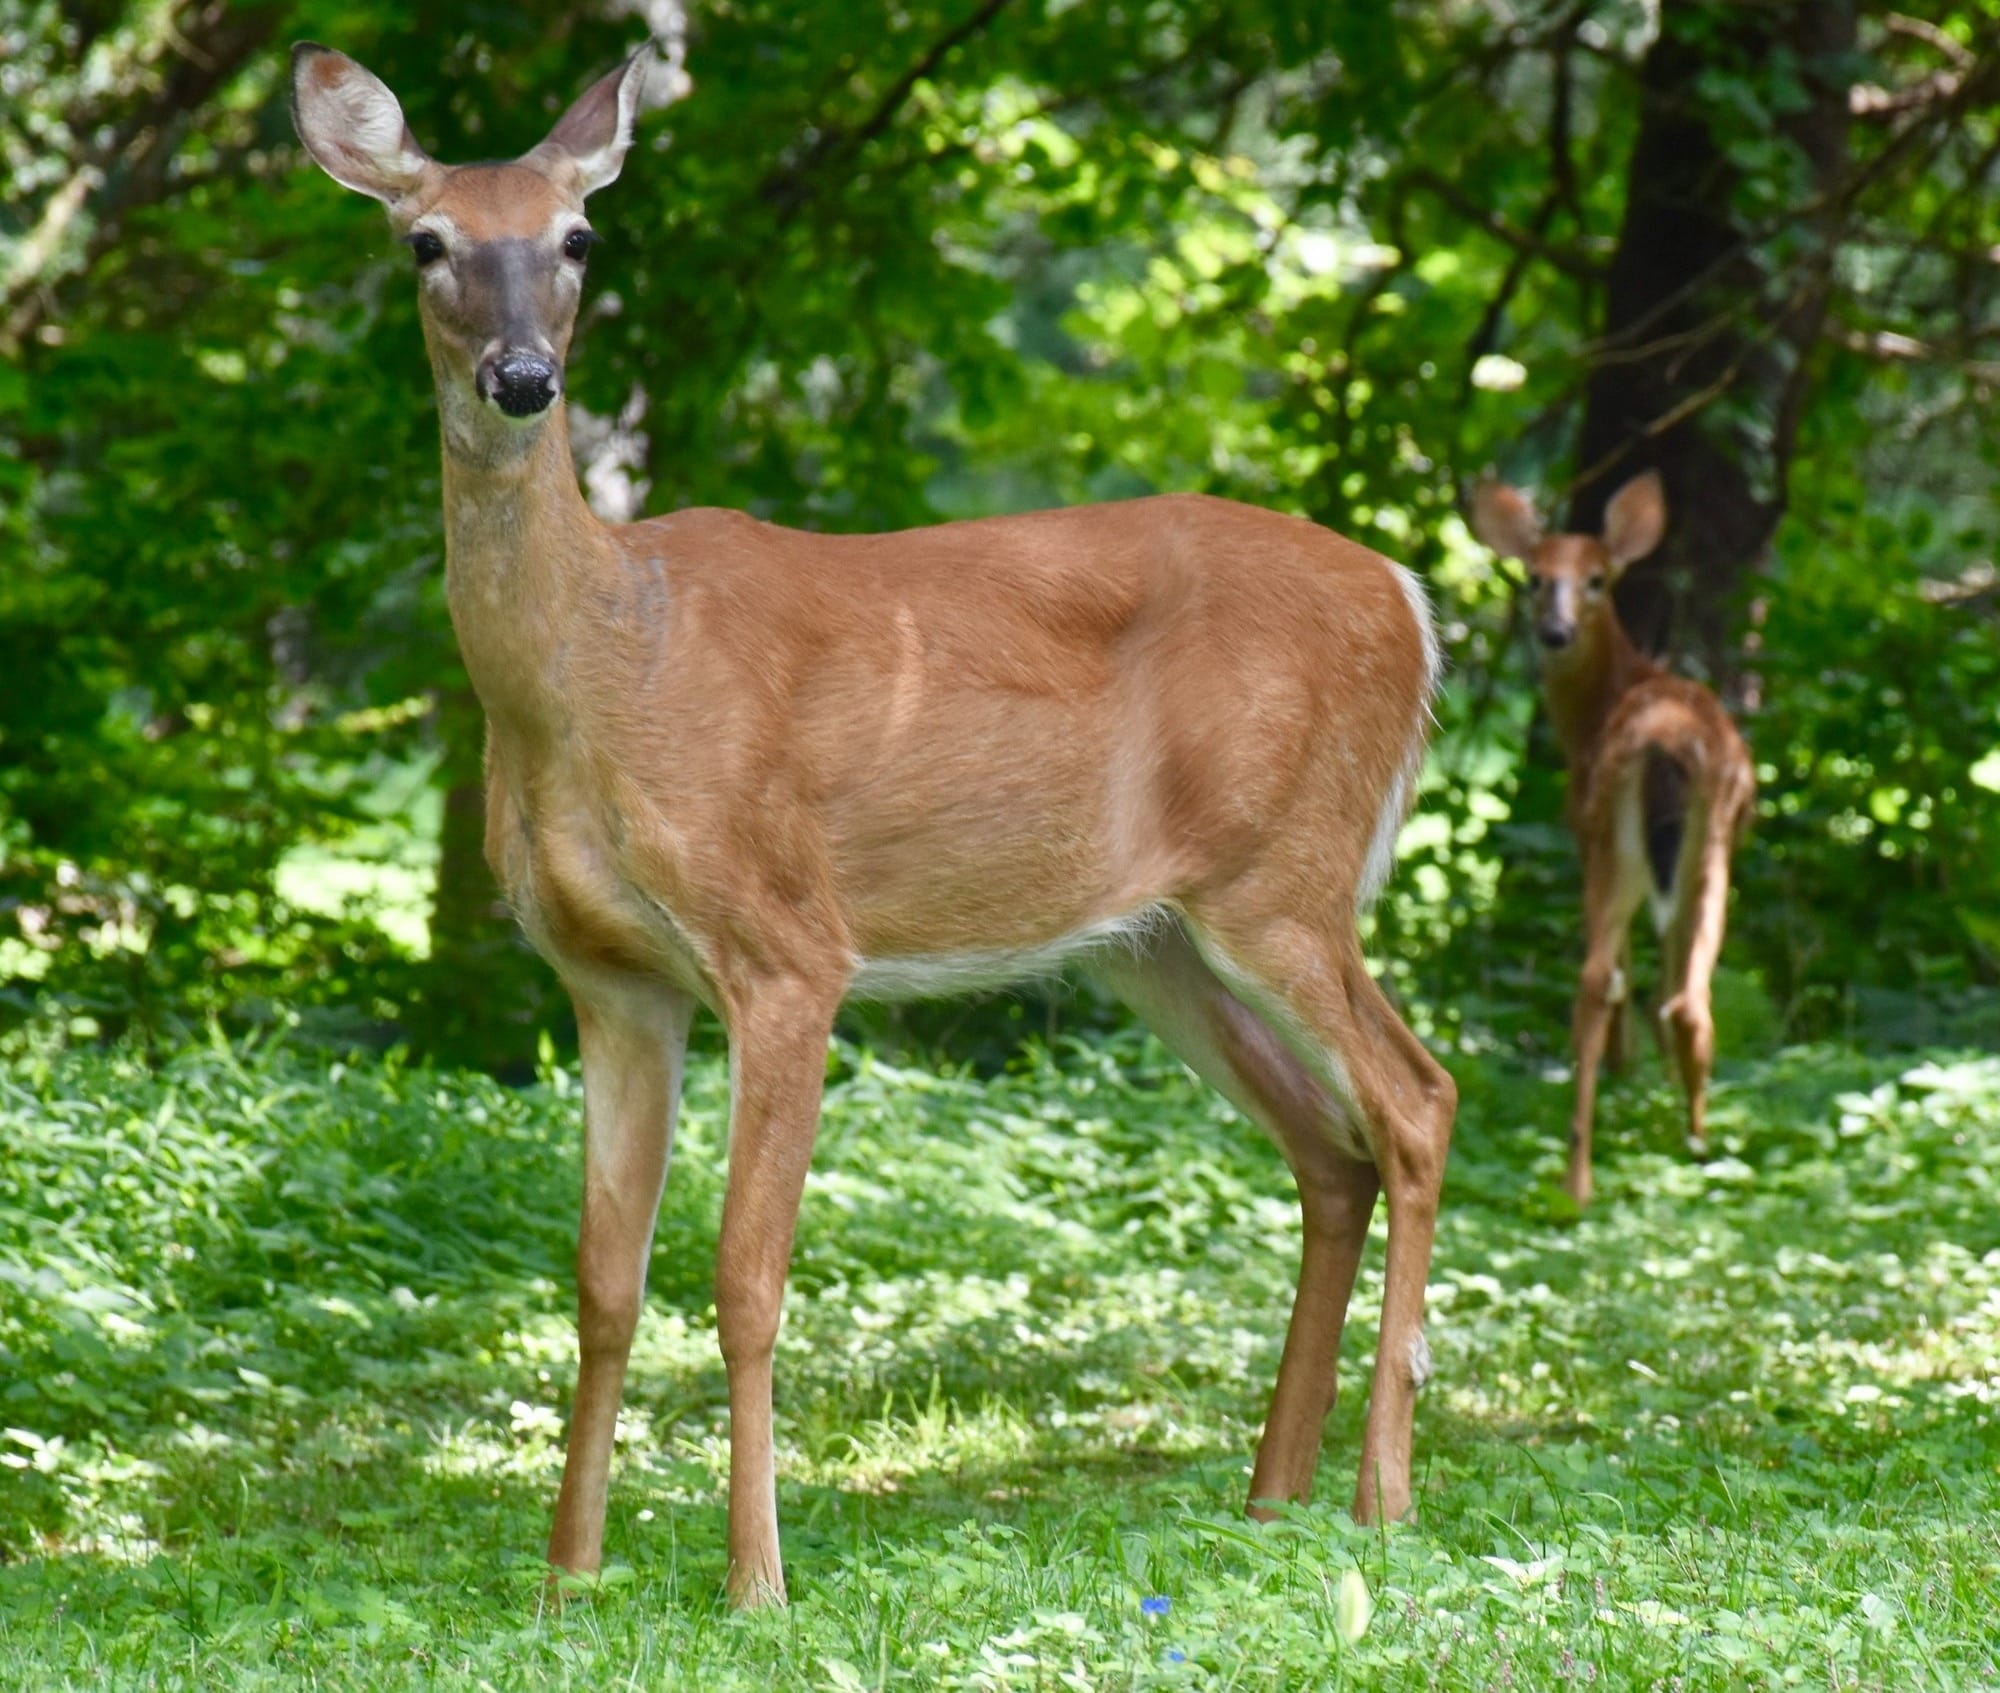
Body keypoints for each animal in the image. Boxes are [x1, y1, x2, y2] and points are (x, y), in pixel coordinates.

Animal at [290, 40, 1456, 1607]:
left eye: (580, 237)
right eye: (428, 244)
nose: (525, 378)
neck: (599, 667)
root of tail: (1412, 599)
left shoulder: (787, 945)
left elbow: (743, 1278)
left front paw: (755, 1584)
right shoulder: (610, 979)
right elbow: (601, 1283)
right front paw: (567, 1577)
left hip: (1287, 875)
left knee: (1415, 1100)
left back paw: (1384, 1501)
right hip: (1151, 940)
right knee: (1329, 1151)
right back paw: (1273, 1501)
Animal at [1470, 473, 1755, 1209]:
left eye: (1596, 579)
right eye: (1535, 576)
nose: (1554, 631)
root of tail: (1667, 742)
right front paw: (1643, 1071)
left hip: (1649, 848)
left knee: (1637, 985)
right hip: (1682, 850)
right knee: (1663, 988)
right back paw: (1663, 1150)